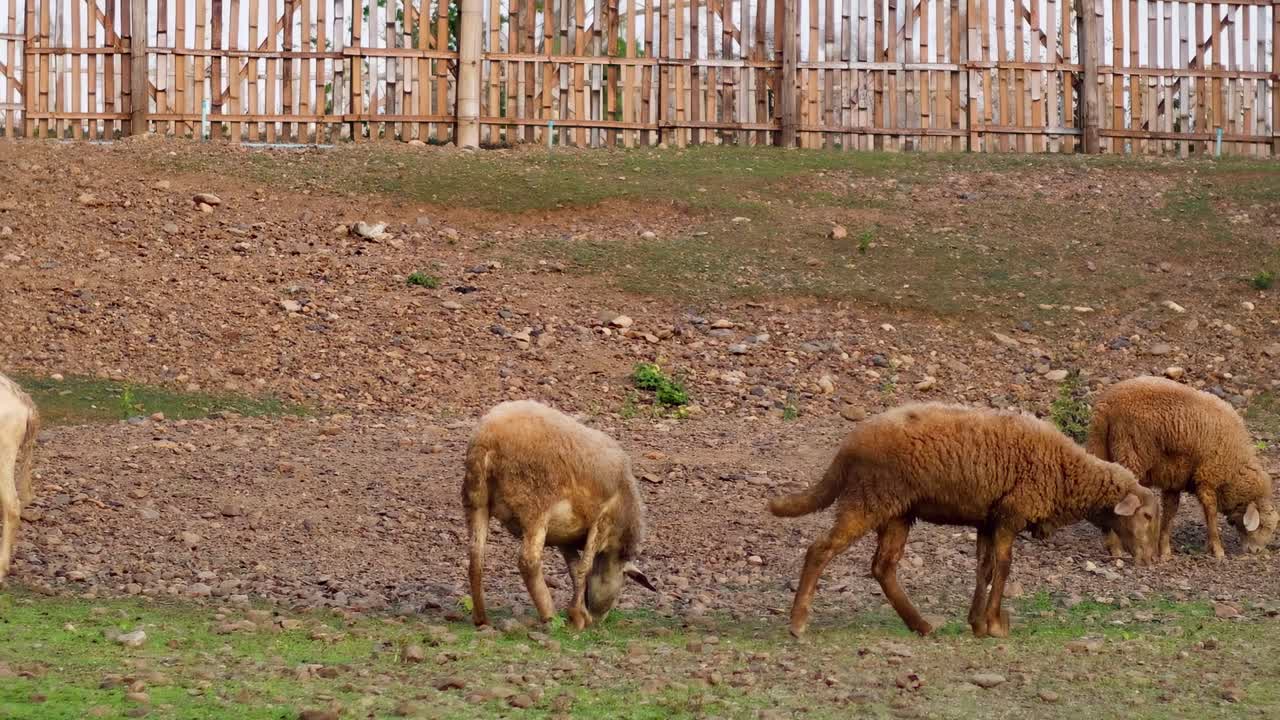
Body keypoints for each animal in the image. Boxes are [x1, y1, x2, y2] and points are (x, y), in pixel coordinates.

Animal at [462, 400, 656, 630]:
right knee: (528, 561)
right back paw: (550, 616)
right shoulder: (604, 521)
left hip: (476, 499)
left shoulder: (566, 537)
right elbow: (583, 568)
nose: (599, 621)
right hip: (535, 505)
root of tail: (488, 437)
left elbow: (574, 568)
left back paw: (481, 618)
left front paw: (577, 611)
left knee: (476, 558)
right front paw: (579, 617)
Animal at [767, 402, 1159, 639]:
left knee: (883, 567)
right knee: (820, 550)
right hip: (868, 501)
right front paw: (995, 624)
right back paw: (798, 622)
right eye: (1146, 514)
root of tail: (846, 448)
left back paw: (921, 625)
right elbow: (1003, 566)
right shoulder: (1009, 515)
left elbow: (984, 568)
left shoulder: (988, 519)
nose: (1148, 560)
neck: (1067, 474)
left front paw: (977, 622)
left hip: (897, 512)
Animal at [1087, 376, 1278, 560]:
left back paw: (1112, 546)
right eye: (1262, 525)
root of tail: (1105, 405)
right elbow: (1211, 513)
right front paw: (1217, 549)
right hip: (1130, 454)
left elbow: (1170, 513)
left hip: (1101, 449)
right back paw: (1117, 548)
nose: (1256, 551)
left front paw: (1164, 550)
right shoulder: (1207, 477)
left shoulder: (1174, 481)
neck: (1235, 471)